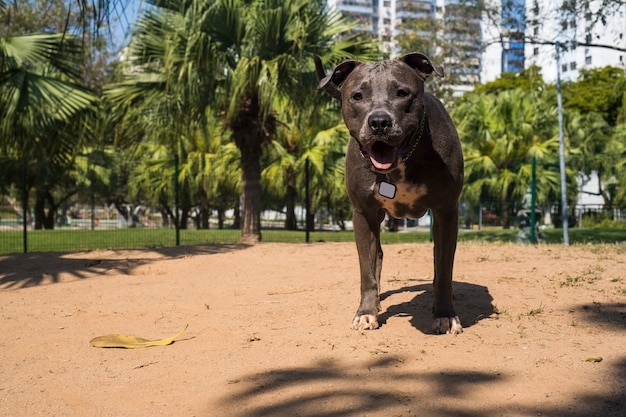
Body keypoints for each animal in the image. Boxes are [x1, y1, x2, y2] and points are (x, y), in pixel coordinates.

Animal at [312, 53, 464, 334]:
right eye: (357, 95)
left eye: (402, 93)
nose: (379, 122)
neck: (403, 160)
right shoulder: (363, 213)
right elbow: (367, 270)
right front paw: (366, 312)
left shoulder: (446, 210)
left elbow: (444, 268)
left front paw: (445, 314)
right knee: (378, 256)